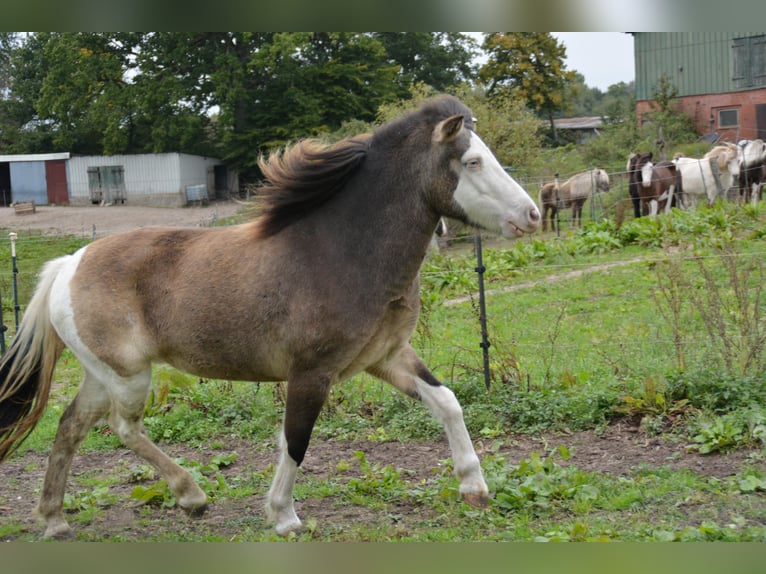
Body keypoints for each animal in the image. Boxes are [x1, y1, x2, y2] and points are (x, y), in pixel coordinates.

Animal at [0, 95, 541, 539]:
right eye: (472, 161)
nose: (532, 215)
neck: (343, 251)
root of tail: (69, 263)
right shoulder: (312, 371)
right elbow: (296, 440)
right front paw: (283, 516)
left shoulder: (385, 358)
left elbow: (447, 401)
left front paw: (474, 488)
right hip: (128, 376)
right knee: (124, 428)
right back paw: (191, 496)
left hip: (101, 374)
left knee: (71, 426)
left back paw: (55, 520)